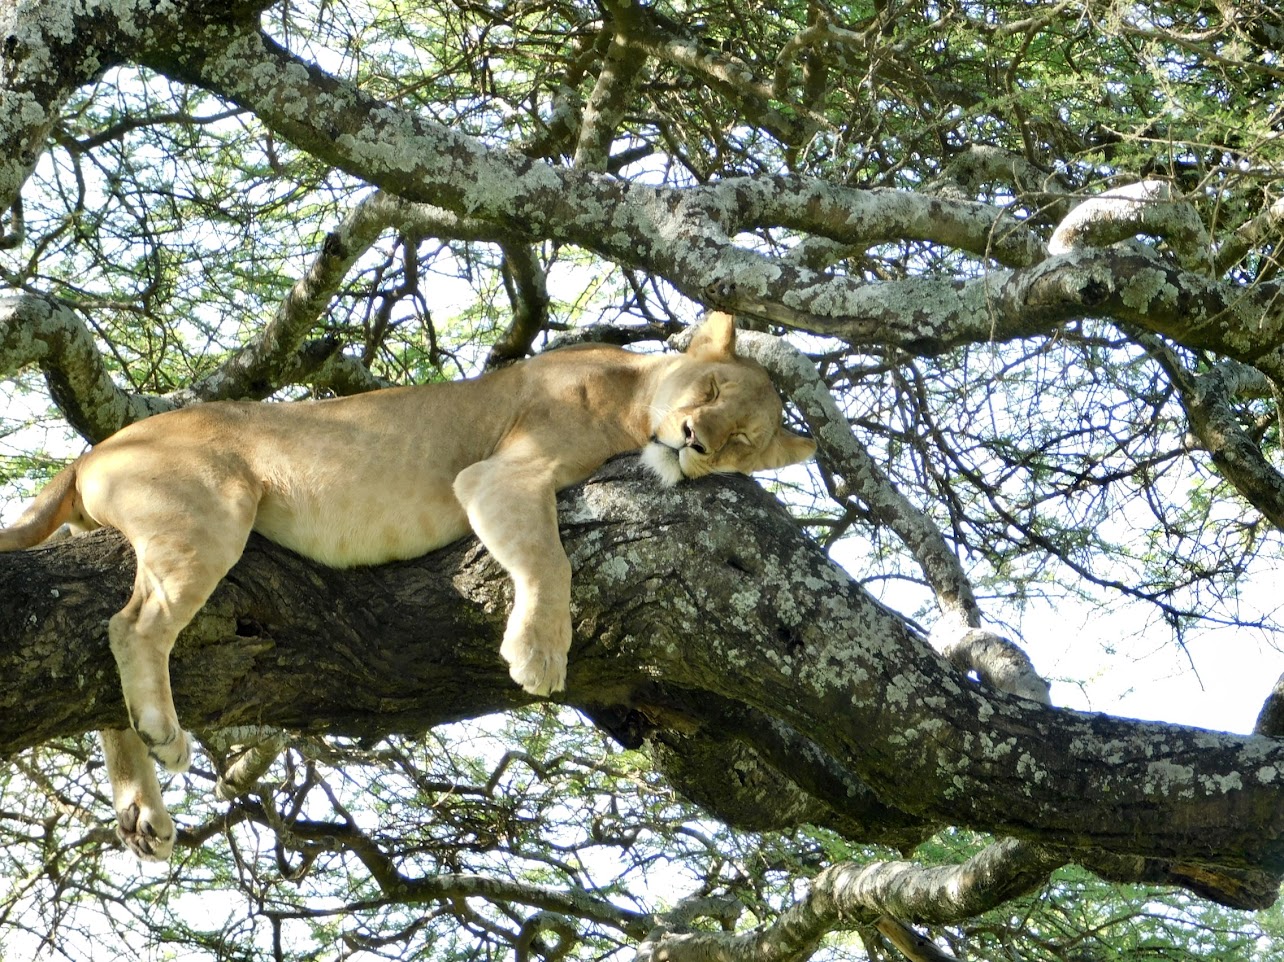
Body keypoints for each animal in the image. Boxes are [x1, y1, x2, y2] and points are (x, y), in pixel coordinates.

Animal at [0, 311, 815, 861]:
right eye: (709, 386)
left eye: (743, 439)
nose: (697, 442)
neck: (633, 393)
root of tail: (95, 449)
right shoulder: (499, 475)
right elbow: (549, 558)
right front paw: (539, 653)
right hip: (212, 511)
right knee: (129, 625)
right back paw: (163, 736)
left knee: (100, 644)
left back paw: (141, 812)